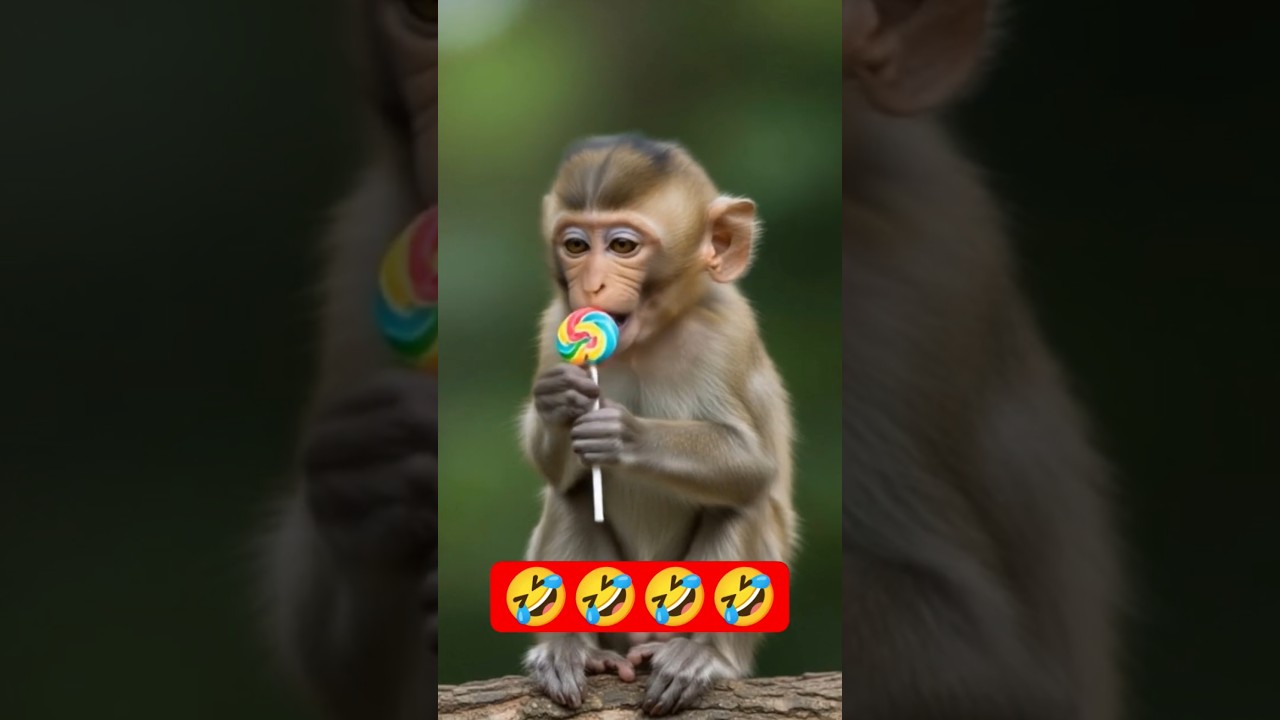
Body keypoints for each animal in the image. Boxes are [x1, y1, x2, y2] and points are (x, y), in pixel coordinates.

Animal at [517, 133, 797, 717]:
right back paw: (571, 650)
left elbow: (751, 463)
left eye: (623, 246)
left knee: (741, 499)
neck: (647, 339)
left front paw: (622, 434)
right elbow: (556, 472)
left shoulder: (728, 330)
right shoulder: (553, 322)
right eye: (575, 245)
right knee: (571, 496)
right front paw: (559, 400)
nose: (591, 285)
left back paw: (699, 655)